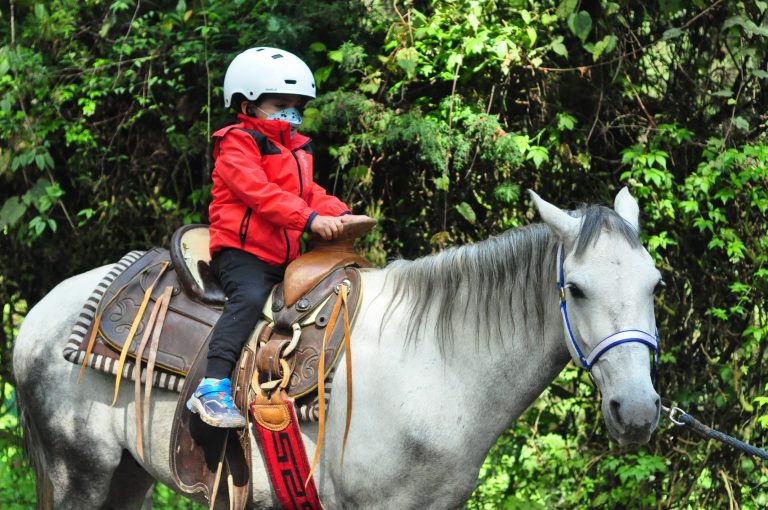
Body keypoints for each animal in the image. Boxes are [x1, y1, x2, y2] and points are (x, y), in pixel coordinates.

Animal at [13, 188, 662, 509]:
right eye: (576, 289)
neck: (435, 366)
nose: (637, 411)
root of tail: (37, 319)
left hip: (127, 477)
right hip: (80, 474)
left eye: (655, 285)